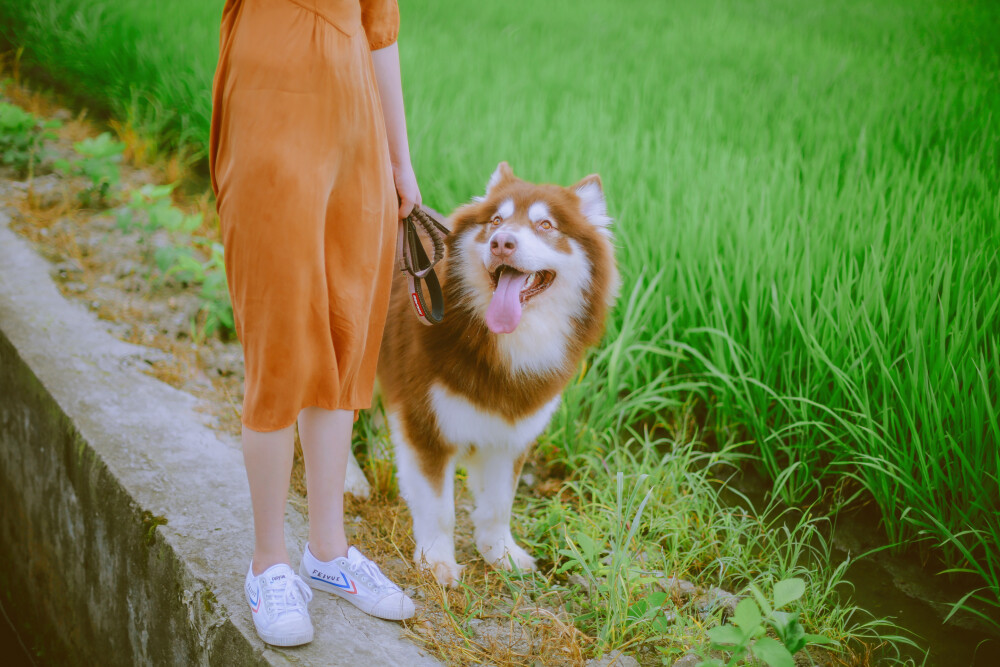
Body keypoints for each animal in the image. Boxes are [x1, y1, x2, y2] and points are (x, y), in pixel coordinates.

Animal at [374, 164, 616, 588]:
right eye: (497, 221)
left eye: (546, 224)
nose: (502, 242)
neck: (503, 346)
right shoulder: (427, 424)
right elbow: (438, 508)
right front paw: (437, 561)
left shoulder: (511, 433)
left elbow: (499, 505)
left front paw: (500, 553)